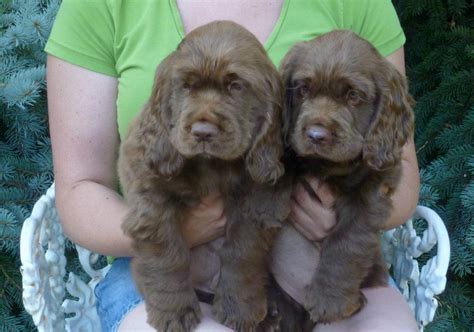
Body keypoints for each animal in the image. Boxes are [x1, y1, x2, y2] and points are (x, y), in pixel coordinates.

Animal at [117, 21, 288, 332]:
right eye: (186, 86)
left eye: (236, 86)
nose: (203, 132)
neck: (211, 165)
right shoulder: (151, 195)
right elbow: (168, 256)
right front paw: (174, 311)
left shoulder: (253, 201)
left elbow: (241, 252)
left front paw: (239, 308)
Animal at [282, 29, 414, 322]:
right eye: (303, 89)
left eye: (354, 96)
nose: (315, 136)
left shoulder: (373, 188)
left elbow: (347, 240)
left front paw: (329, 301)